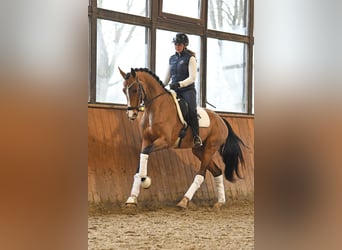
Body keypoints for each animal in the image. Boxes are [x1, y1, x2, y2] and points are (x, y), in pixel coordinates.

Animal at [119, 67, 244, 209]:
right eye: (123, 90)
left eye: (135, 90)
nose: (131, 114)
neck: (156, 108)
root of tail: (221, 120)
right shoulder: (146, 141)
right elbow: (141, 159)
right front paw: (132, 198)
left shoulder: (164, 141)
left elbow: (145, 153)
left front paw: (145, 180)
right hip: (199, 150)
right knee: (217, 171)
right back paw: (220, 202)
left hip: (210, 149)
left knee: (201, 174)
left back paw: (184, 201)